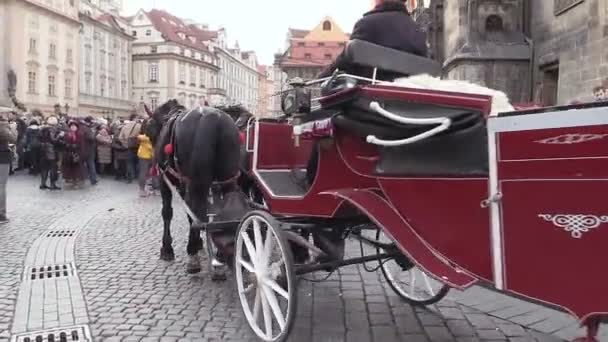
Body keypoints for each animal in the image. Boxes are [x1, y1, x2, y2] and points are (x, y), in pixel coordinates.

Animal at [147, 99, 247, 276]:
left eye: (149, 129)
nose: (153, 161)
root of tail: (213, 118)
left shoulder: (166, 180)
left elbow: (168, 213)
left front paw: (167, 248)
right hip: (226, 179)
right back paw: (222, 253)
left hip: (196, 182)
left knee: (196, 210)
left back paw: (192, 254)